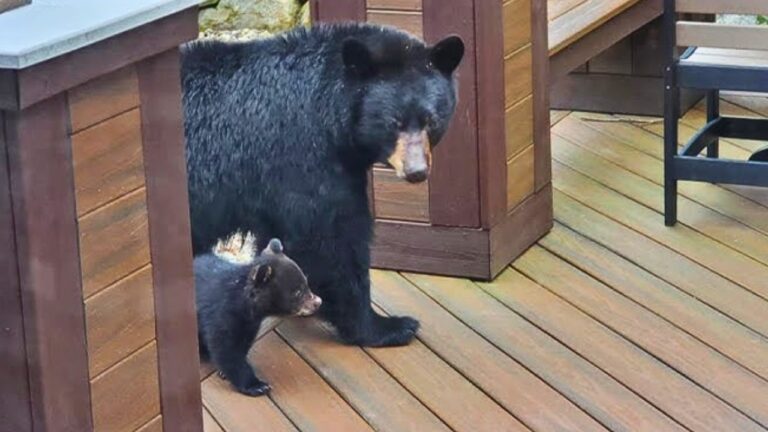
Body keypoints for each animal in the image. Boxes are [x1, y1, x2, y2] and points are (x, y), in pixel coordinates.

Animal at [181, 22, 464, 347]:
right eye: (394, 122)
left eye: (431, 120)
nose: (416, 171)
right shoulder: (302, 156)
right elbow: (330, 239)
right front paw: (385, 326)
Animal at [195, 232, 322, 396]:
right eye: (297, 292)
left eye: (306, 283)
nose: (318, 302)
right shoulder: (222, 315)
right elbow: (227, 349)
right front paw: (257, 385)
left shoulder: (250, 325)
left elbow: (242, 344)